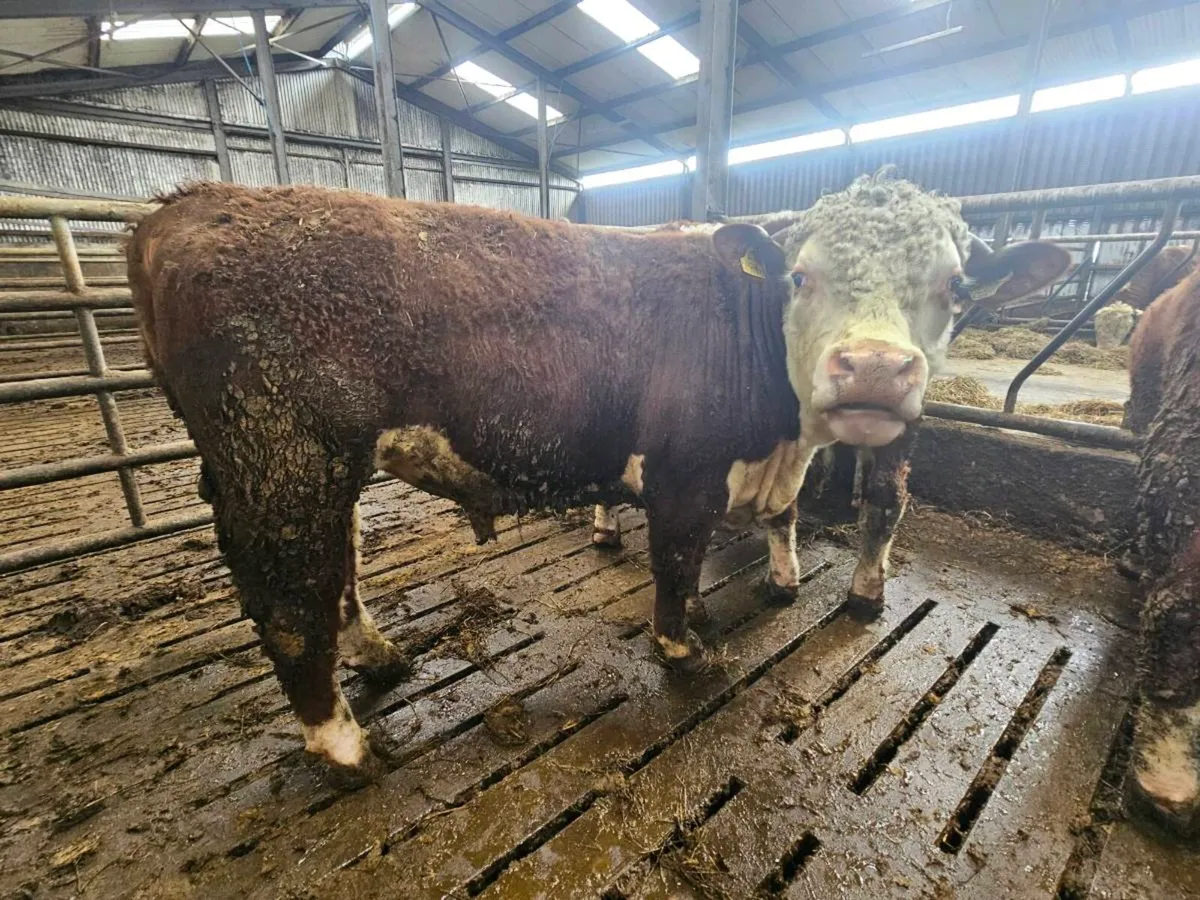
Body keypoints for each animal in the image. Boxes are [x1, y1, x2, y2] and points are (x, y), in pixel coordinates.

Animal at [127, 175, 1068, 774]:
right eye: (801, 275)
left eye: (956, 287)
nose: (873, 367)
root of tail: (190, 204)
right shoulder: (685, 471)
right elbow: (678, 562)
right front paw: (684, 648)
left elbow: (777, 520)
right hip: (281, 462)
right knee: (288, 599)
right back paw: (345, 749)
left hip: (317, 466)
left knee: (340, 572)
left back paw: (383, 658)